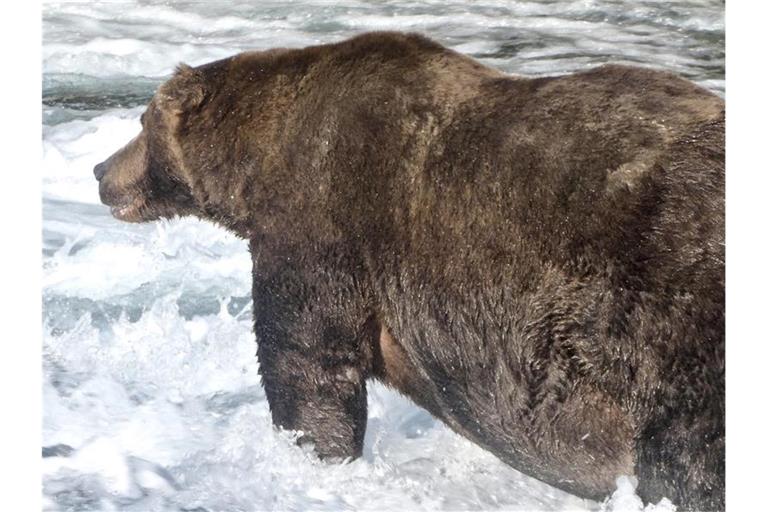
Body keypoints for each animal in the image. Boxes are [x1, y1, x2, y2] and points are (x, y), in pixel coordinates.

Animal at [93, 33, 724, 512]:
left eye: (142, 122)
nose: (101, 170)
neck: (255, 166)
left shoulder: (323, 224)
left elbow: (306, 362)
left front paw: (311, 457)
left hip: (666, 319)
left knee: (688, 458)